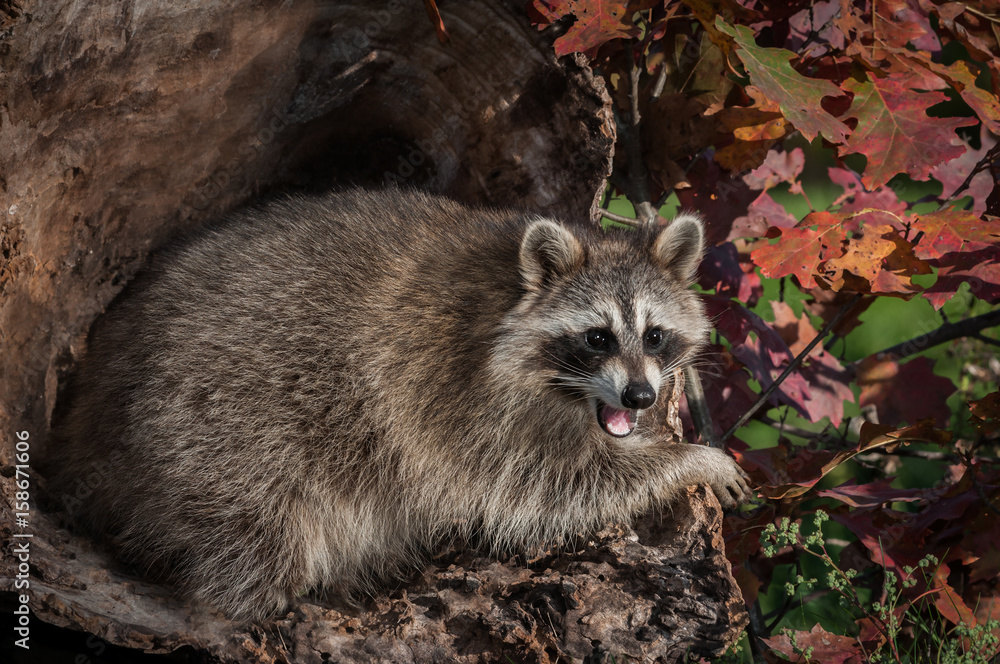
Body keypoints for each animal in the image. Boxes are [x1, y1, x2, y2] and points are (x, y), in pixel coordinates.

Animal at [48, 188, 752, 621]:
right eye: (597, 337)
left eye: (655, 335)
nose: (641, 395)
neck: (511, 291)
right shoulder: (464, 402)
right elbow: (552, 488)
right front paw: (689, 459)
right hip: (209, 422)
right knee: (258, 530)